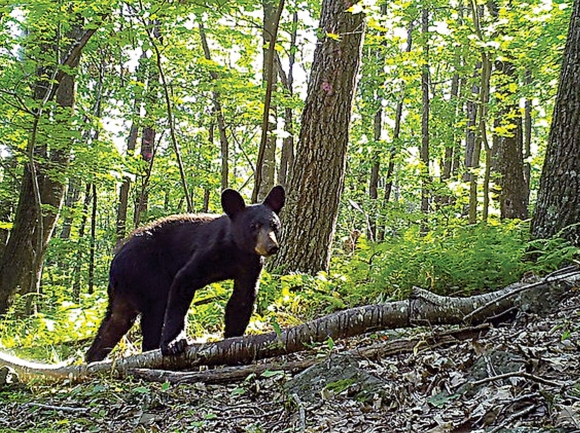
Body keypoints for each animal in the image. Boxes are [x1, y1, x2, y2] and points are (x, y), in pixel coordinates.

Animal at [85, 186, 284, 362]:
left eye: (274, 225)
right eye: (254, 226)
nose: (271, 247)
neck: (237, 251)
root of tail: (116, 260)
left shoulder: (250, 266)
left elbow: (242, 299)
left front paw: (233, 340)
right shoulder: (208, 252)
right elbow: (181, 284)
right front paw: (173, 343)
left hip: (125, 290)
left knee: (115, 321)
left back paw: (92, 359)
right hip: (146, 272)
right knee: (155, 310)